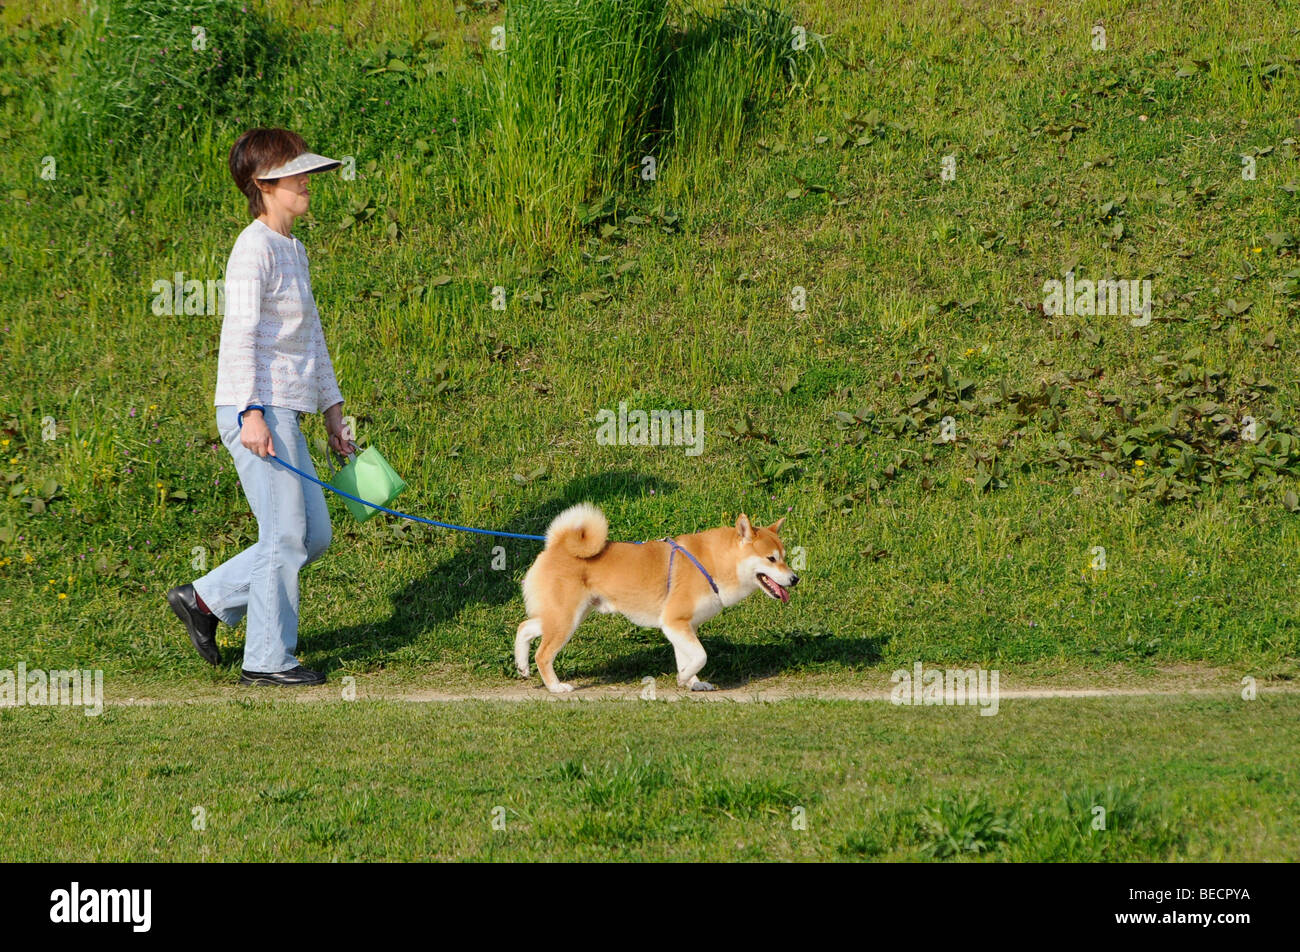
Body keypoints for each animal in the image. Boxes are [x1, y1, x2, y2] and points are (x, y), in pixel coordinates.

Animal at [512, 504, 795, 691]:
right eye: (771, 559)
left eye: (784, 557)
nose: (795, 578)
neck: (711, 563)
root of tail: (556, 546)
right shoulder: (674, 622)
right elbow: (701, 656)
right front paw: (684, 678)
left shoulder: (684, 626)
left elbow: (687, 657)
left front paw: (692, 682)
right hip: (565, 620)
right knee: (543, 655)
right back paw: (556, 687)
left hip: (566, 617)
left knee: (524, 627)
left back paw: (522, 665)